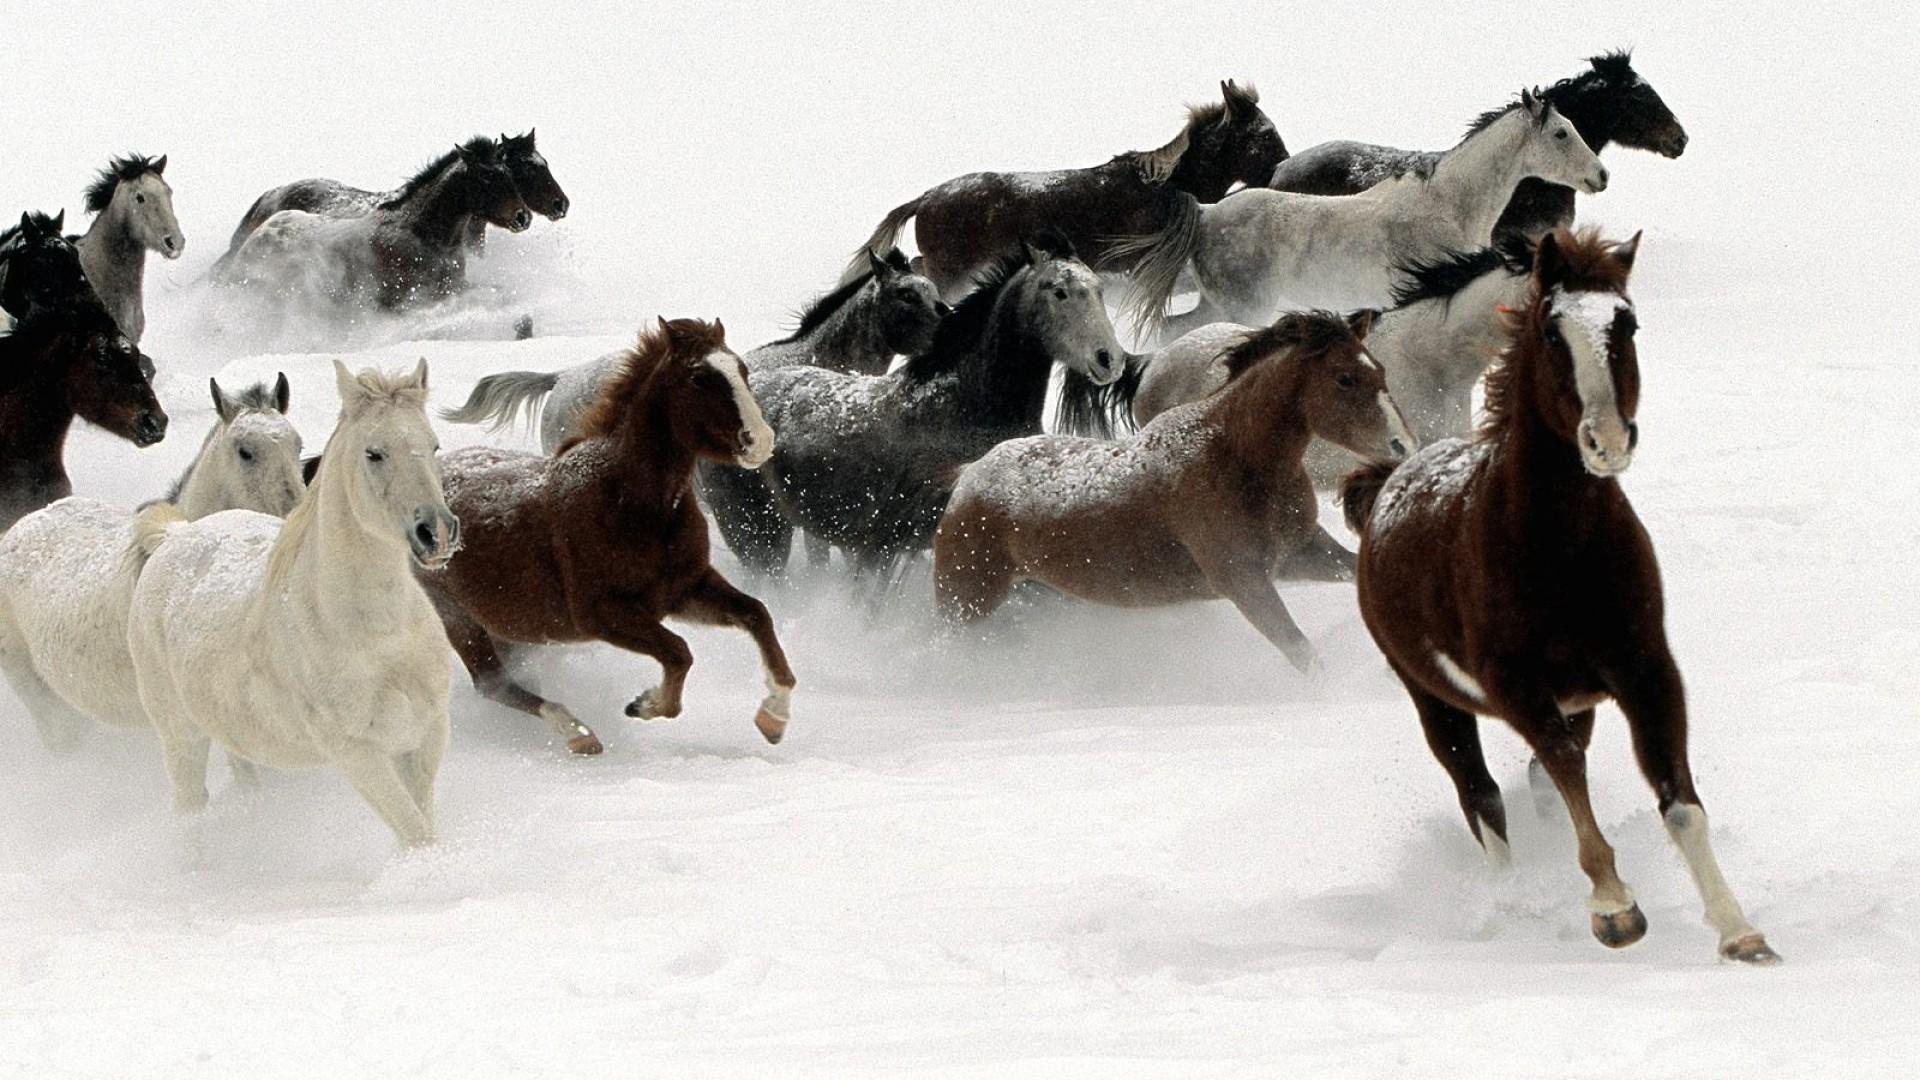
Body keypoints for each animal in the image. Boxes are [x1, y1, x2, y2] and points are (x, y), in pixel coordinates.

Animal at [127, 360, 458, 847]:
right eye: (373, 453)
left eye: (433, 445)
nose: (436, 532)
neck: (379, 635)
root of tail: (174, 536)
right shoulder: (358, 753)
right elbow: (417, 835)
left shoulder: (425, 735)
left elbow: (423, 825)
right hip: (180, 736)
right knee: (189, 807)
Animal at [417, 318, 794, 756]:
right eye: (699, 377)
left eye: (741, 370)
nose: (760, 440)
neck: (629, 502)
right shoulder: (602, 614)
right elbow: (679, 653)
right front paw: (646, 705)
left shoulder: (685, 590)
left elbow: (756, 614)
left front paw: (773, 717)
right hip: (457, 618)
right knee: (492, 685)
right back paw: (578, 733)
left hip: (508, 628)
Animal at [936, 310, 1411, 671]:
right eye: (1344, 378)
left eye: (1381, 371)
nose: (1402, 445)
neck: (1236, 456)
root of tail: (968, 476)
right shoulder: (1243, 580)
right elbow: (1301, 652)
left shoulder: (1300, 554)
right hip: (966, 601)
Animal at [1118, 90, 1606, 337]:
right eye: (1561, 133)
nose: (1601, 176)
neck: (1448, 206)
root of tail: (1206, 214)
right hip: (1242, 308)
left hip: (1218, 305)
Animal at [1339, 229, 1779, 965]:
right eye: (1550, 331)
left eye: (1626, 323)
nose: (1608, 441)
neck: (1562, 551)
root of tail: (1385, 483)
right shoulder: (1517, 688)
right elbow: (1565, 771)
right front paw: (1615, 909)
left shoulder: (1646, 671)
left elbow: (1677, 797)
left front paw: (1740, 932)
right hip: (1433, 699)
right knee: (1482, 797)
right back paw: (1514, 905)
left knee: (1534, 786)